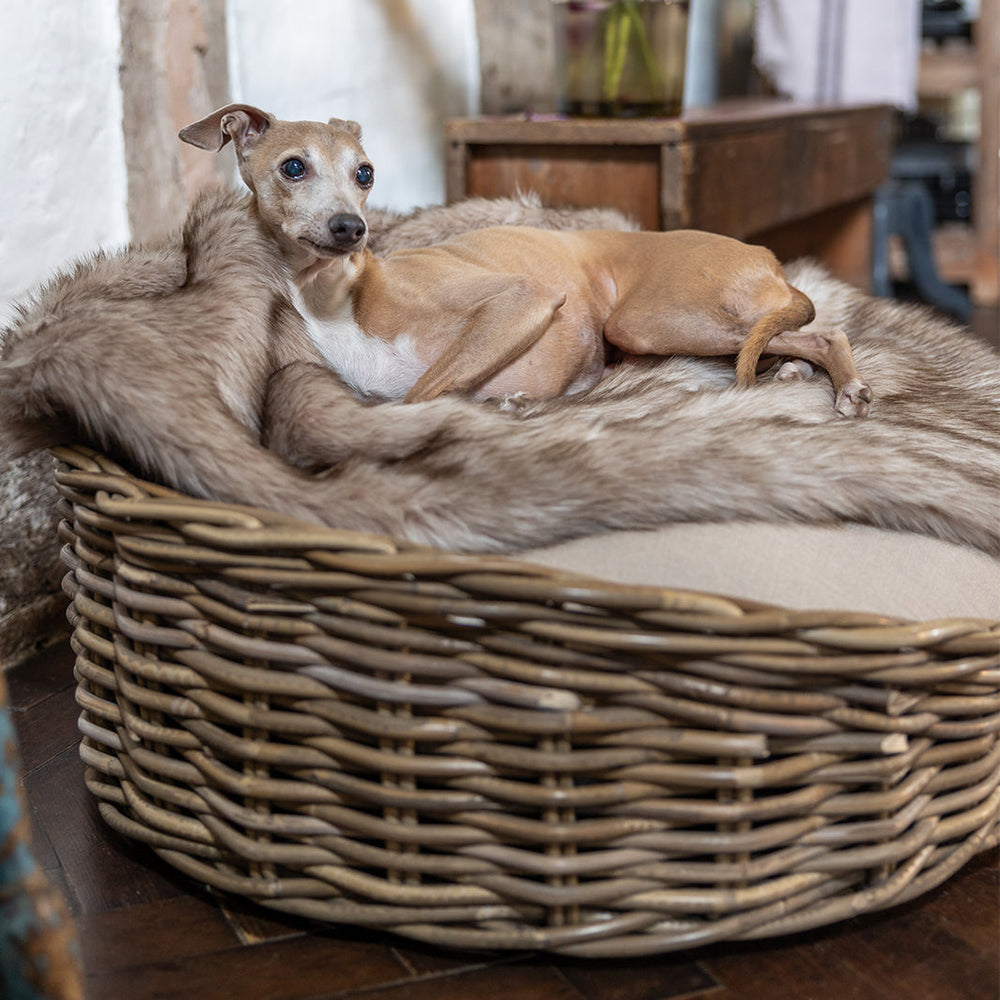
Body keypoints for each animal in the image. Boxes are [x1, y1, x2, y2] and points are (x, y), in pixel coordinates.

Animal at [182, 101, 876, 414]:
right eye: (293, 167)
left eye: (365, 172)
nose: (351, 228)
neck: (339, 295)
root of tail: (768, 256)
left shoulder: (522, 300)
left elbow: (422, 396)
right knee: (786, 338)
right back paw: (793, 372)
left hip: (645, 321)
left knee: (827, 332)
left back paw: (844, 384)